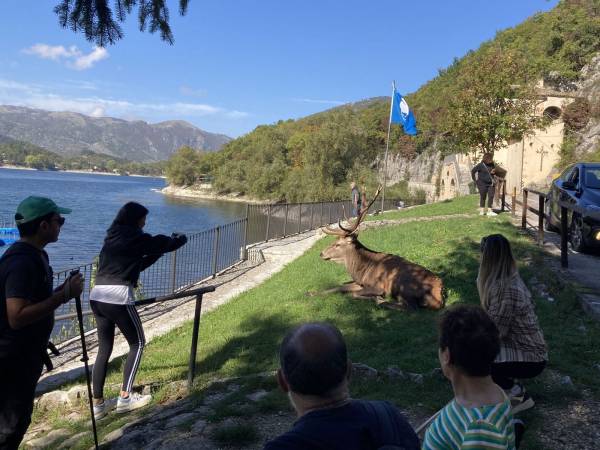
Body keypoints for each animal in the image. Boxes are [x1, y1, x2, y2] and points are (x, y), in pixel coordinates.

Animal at [314, 186, 446, 310]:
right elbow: (339, 286)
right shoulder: (359, 283)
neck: (360, 271)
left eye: (337, 244)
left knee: (410, 307)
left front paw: (377, 297)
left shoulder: (377, 286)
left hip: (403, 285)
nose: (321, 253)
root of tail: (439, 295)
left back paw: (380, 301)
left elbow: (354, 294)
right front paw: (312, 293)